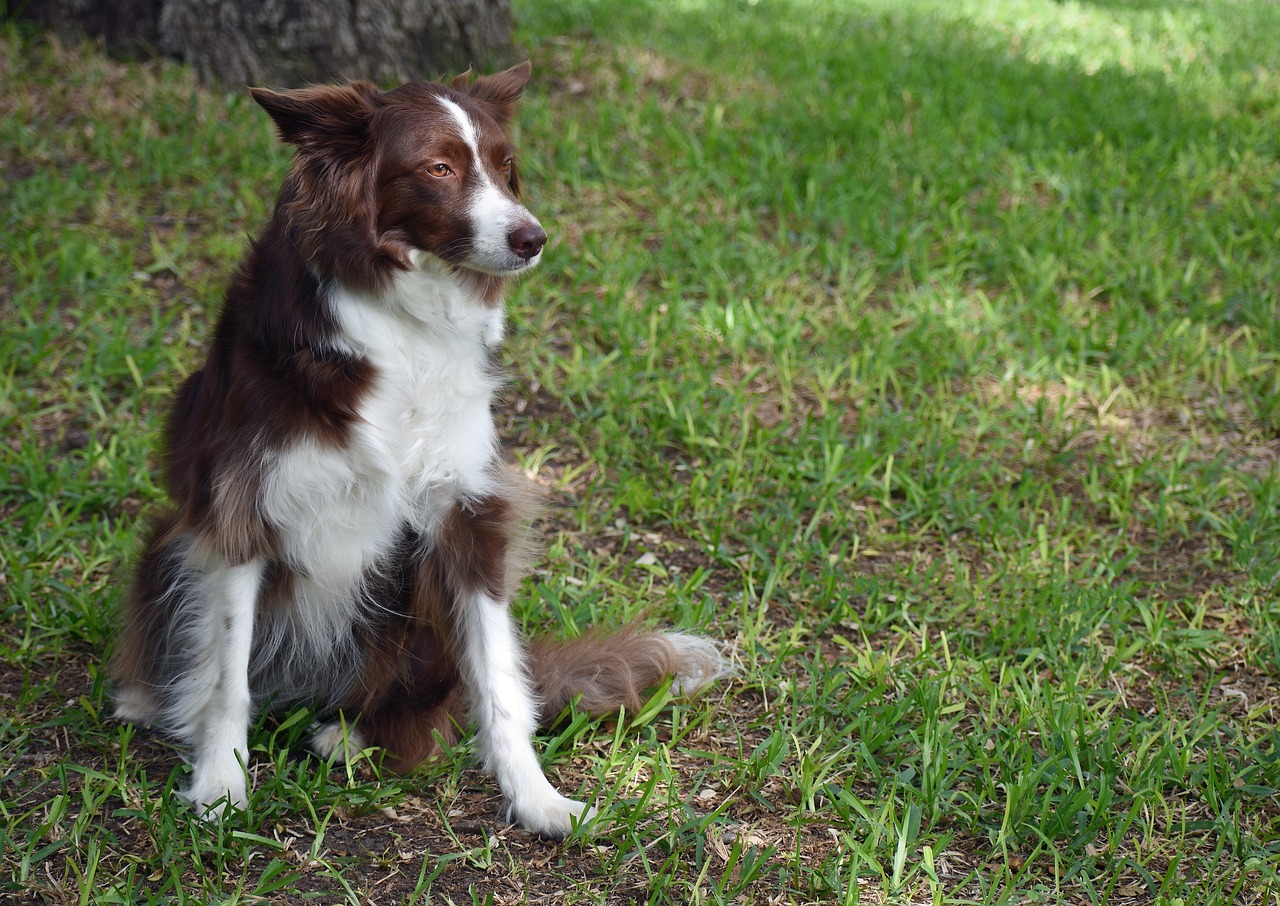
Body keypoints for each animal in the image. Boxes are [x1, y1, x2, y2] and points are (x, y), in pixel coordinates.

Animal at [111, 63, 727, 839]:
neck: (404, 315)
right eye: (439, 168)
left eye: (504, 167)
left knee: (439, 707)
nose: (533, 238)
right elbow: (225, 676)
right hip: (171, 534)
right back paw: (149, 697)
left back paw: (353, 737)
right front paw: (220, 786)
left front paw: (539, 800)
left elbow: (499, 681)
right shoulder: (242, 506)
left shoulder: (467, 511)